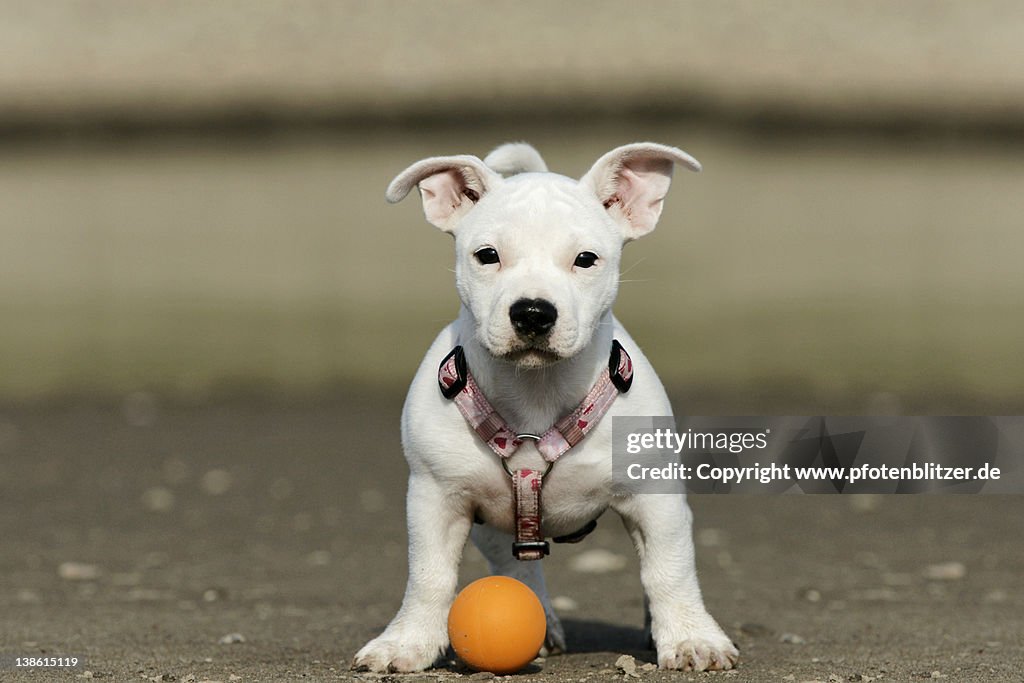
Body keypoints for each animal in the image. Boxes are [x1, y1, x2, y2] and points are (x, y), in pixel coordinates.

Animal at [352, 141, 737, 671]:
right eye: (487, 256)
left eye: (586, 259)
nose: (533, 311)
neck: (537, 393)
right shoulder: (437, 497)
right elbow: (429, 575)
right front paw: (406, 643)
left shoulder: (656, 499)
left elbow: (668, 569)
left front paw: (691, 637)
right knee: (512, 563)